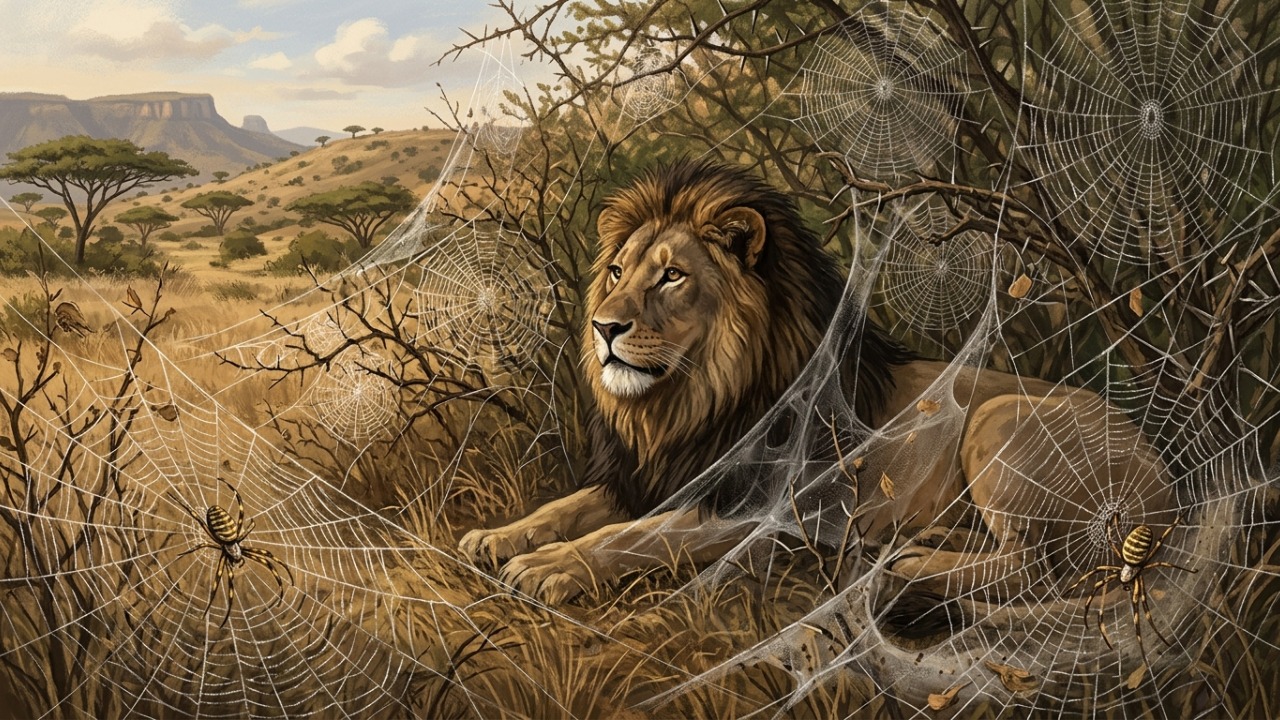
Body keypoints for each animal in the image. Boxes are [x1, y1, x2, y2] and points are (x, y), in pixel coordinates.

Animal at [458, 158, 1173, 605]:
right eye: (616, 272)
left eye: (672, 276)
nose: (604, 327)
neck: (688, 402)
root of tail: (1172, 490)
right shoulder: (652, 479)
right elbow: (567, 508)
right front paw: (496, 537)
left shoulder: (762, 511)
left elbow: (630, 537)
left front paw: (550, 568)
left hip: (1000, 423)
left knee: (1038, 571)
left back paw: (913, 566)